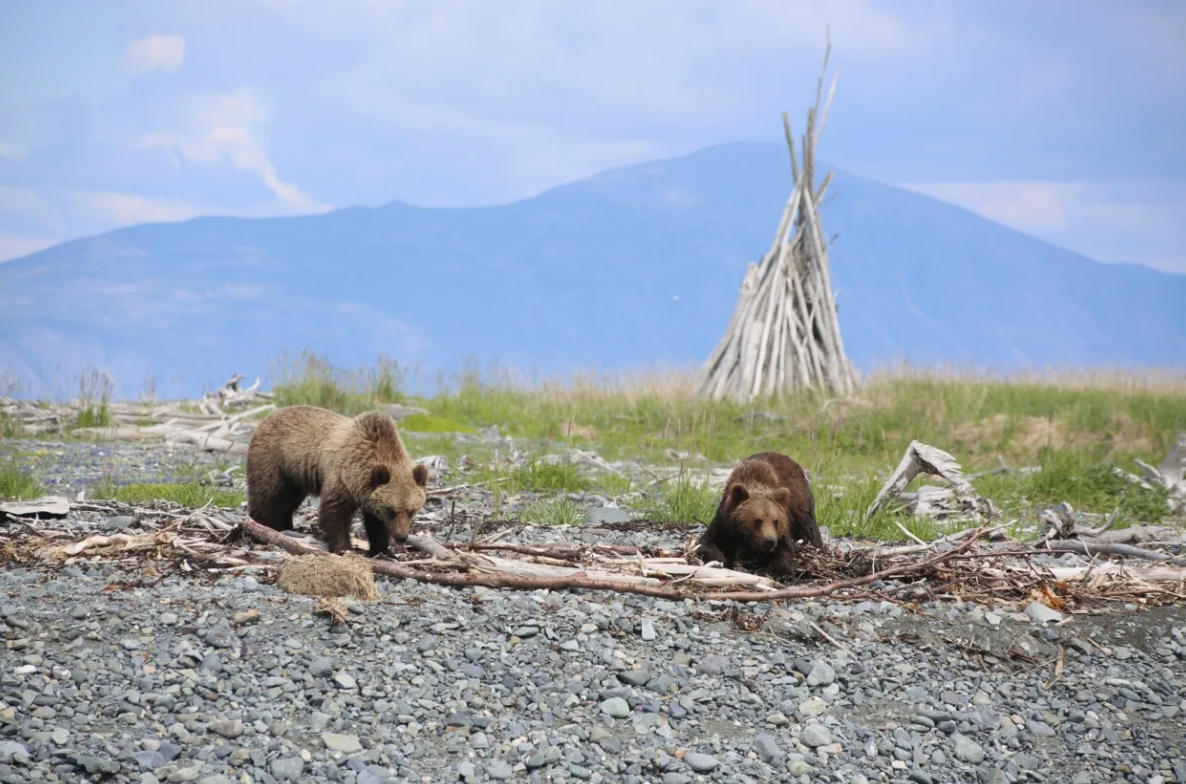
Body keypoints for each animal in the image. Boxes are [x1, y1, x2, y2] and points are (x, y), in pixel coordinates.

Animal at [243, 403, 429, 557]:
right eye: (392, 510)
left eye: (411, 510)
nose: (401, 536)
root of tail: (268, 417)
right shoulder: (343, 476)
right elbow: (334, 514)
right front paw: (344, 548)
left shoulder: (369, 492)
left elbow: (375, 524)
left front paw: (383, 551)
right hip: (271, 460)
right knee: (266, 494)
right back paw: (261, 529)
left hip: (294, 476)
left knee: (288, 500)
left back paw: (284, 526)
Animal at [692, 448, 825, 578]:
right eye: (758, 520)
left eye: (776, 521)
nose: (769, 541)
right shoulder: (724, 521)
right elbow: (706, 542)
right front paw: (720, 558)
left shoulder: (784, 525)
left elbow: (785, 549)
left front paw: (776, 571)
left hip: (801, 504)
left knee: (809, 529)